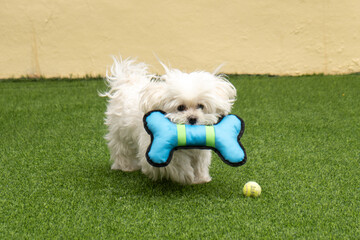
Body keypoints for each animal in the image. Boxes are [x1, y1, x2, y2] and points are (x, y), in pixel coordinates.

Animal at [101, 57, 236, 185]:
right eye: (180, 107)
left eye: (201, 106)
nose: (192, 118)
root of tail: (127, 82)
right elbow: (177, 163)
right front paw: (186, 176)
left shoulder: (200, 151)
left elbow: (199, 163)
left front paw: (201, 178)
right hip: (120, 133)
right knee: (122, 149)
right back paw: (126, 166)